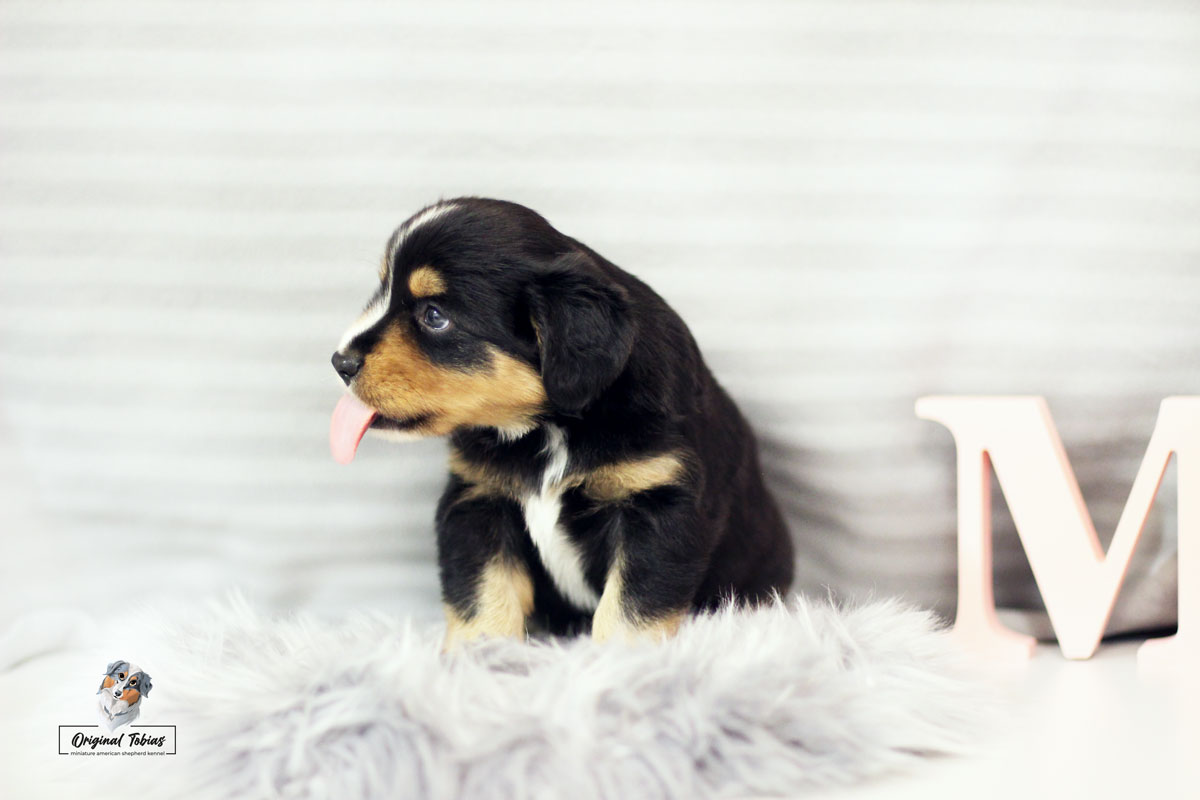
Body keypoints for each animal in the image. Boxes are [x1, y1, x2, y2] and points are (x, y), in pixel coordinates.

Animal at [330, 198, 793, 647]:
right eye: (382, 292)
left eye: (434, 315)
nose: (340, 362)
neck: (550, 428)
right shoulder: (480, 499)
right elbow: (483, 596)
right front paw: (479, 657)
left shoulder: (658, 503)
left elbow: (628, 611)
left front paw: (619, 663)